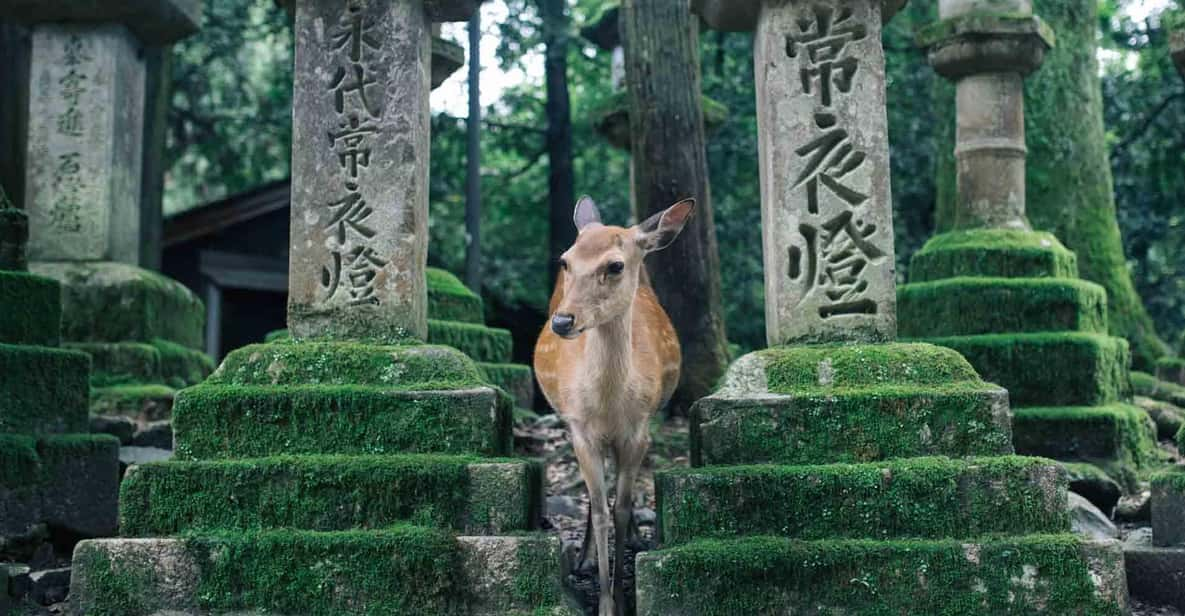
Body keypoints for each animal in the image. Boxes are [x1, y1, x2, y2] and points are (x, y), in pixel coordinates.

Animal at [533, 196, 692, 616]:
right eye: (565, 261)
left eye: (615, 265)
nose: (562, 321)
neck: (607, 405)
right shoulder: (580, 430)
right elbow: (602, 509)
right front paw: (604, 601)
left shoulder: (638, 431)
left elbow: (620, 509)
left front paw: (622, 596)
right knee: (594, 498)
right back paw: (584, 558)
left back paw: (635, 538)